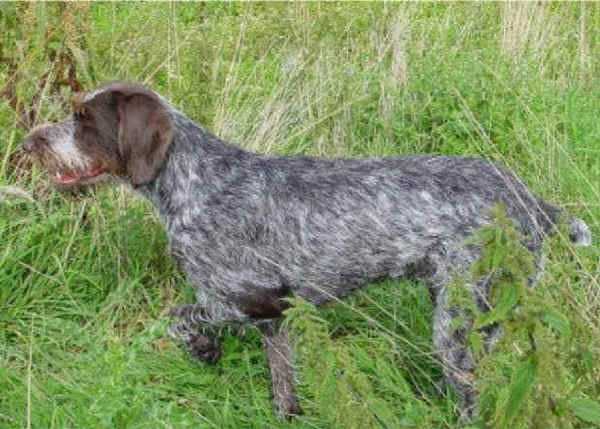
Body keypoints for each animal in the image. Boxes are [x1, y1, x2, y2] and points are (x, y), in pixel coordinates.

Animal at [22, 82, 592, 420]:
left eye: (82, 119)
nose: (29, 142)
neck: (196, 183)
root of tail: (531, 202)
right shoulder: (278, 319)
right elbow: (283, 386)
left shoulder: (251, 298)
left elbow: (179, 316)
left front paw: (204, 349)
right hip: (465, 310)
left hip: (462, 320)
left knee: (475, 395)